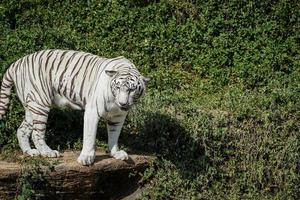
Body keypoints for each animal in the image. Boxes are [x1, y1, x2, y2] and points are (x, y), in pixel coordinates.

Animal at [0, 49, 149, 166]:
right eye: (117, 87)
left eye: (131, 90)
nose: (123, 103)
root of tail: (17, 62)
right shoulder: (92, 112)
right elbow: (90, 137)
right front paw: (86, 158)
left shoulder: (118, 117)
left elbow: (114, 135)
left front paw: (115, 153)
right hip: (40, 104)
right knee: (37, 134)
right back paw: (48, 152)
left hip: (31, 107)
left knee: (22, 130)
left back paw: (30, 152)